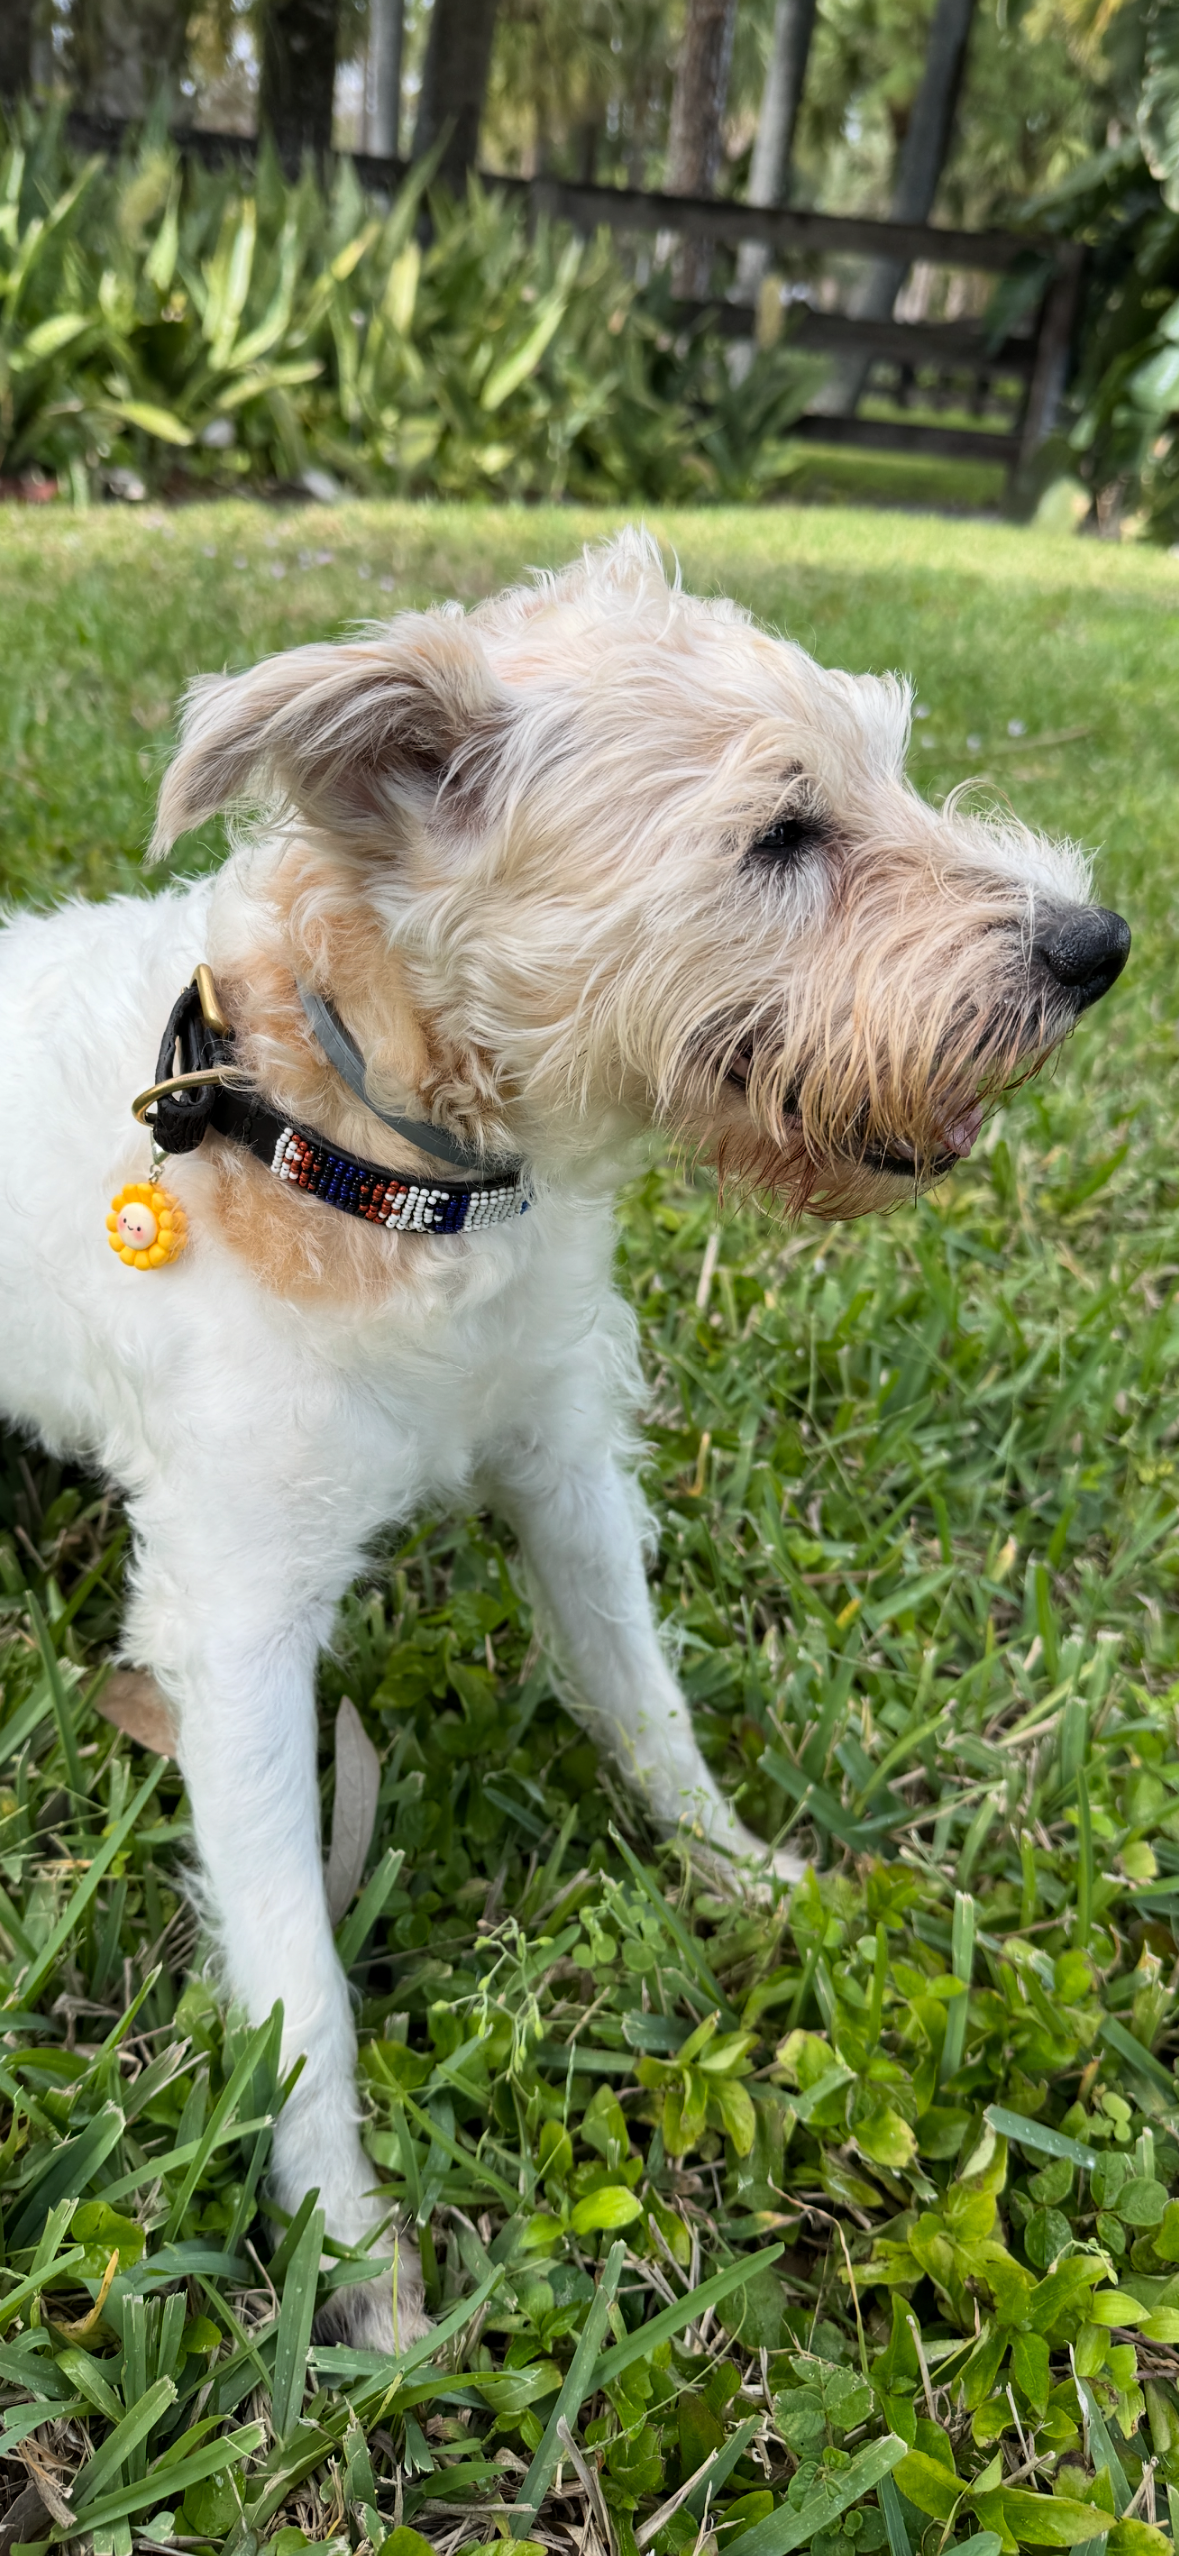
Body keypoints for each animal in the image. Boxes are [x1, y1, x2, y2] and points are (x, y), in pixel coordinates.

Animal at [0, 534, 1125, 2341]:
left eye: (883, 765)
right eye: (779, 834)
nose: (1097, 944)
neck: (377, 1154)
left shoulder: (561, 1463)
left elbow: (644, 1704)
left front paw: (754, 1883)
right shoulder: (233, 1625)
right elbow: (296, 1974)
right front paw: (354, 2260)